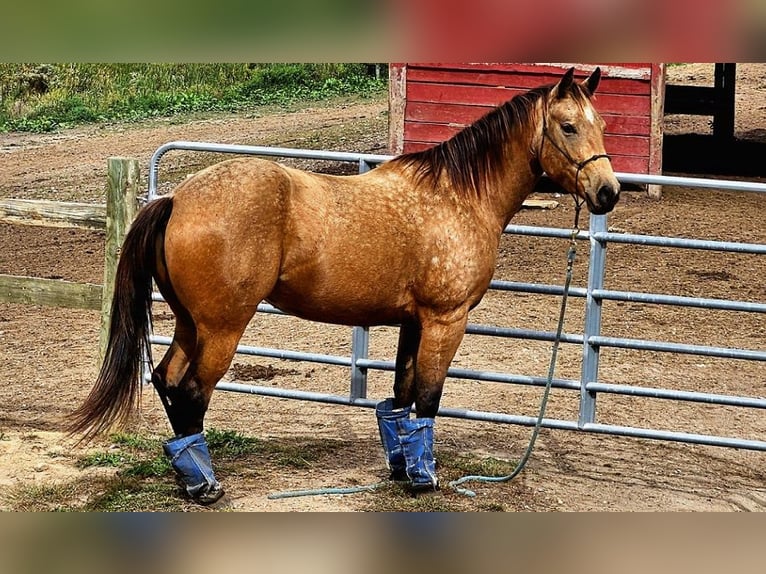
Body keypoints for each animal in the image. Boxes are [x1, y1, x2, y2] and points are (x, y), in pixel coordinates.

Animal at [68, 66, 620, 504]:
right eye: (568, 126)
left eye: (602, 125)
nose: (608, 192)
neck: (457, 196)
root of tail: (177, 199)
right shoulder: (446, 320)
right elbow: (428, 397)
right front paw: (425, 479)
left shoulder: (413, 322)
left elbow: (400, 397)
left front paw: (402, 470)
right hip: (221, 327)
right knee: (190, 391)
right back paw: (205, 486)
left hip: (190, 322)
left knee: (166, 380)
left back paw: (187, 476)